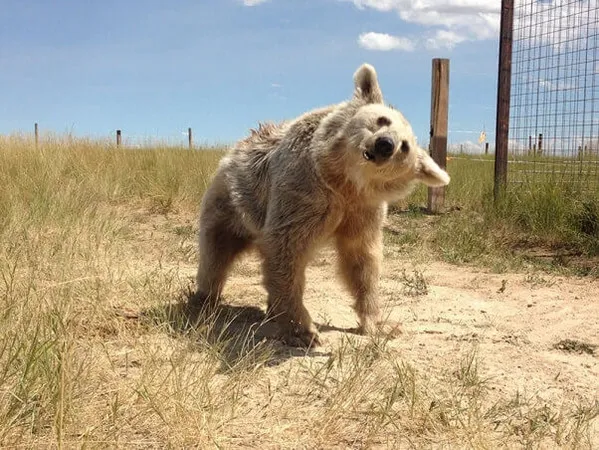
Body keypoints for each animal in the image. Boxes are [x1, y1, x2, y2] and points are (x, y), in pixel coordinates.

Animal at [192, 61, 450, 346]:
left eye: (404, 147)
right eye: (382, 120)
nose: (385, 144)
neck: (344, 180)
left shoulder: (362, 210)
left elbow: (361, 260)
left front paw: (378, 323)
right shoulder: (304, 192)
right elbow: (287, 247)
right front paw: (305, 330)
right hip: (231, 202)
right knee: (216, 254)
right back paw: (205, 299)